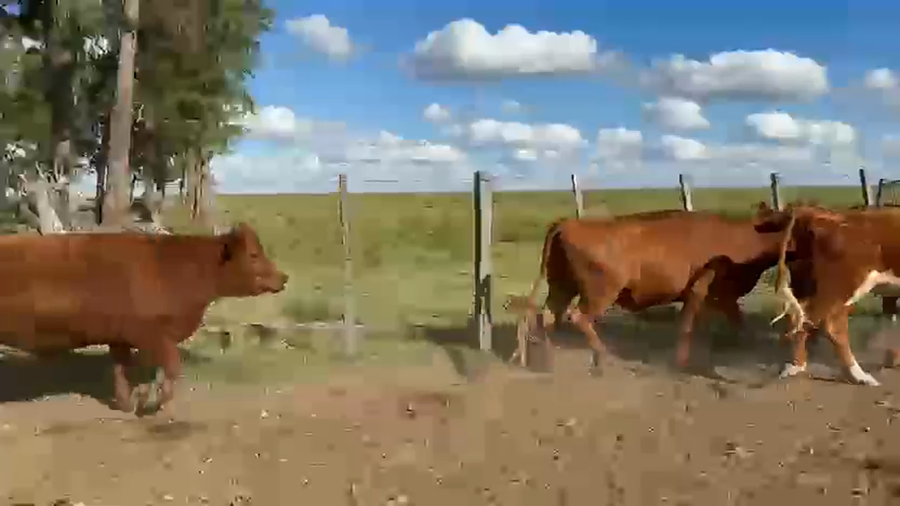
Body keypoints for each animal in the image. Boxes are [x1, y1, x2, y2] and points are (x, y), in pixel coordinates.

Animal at [0, 222, 288, 414]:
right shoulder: (152, 333)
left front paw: (130, 402)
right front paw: (153, 401)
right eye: (253, 254)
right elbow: (171, 366)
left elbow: (124, 369)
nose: (283, 277)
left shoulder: (122, 337)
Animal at [506, 209, 791, 372]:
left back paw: (547, 359)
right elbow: (687, 326)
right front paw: (681, 361)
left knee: (547, 316)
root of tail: (568, 223)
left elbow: (736, 321)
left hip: (561, 287)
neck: (741, 238)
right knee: (578, 317)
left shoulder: (723, 296)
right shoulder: (699, 291)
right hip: (600, 292)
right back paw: (602, 357)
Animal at [761, 203, 900, 386]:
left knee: (800, 317)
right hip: (843, 286)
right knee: (830, 326)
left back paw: (797, 365)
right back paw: (859, 376)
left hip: (812, 284)